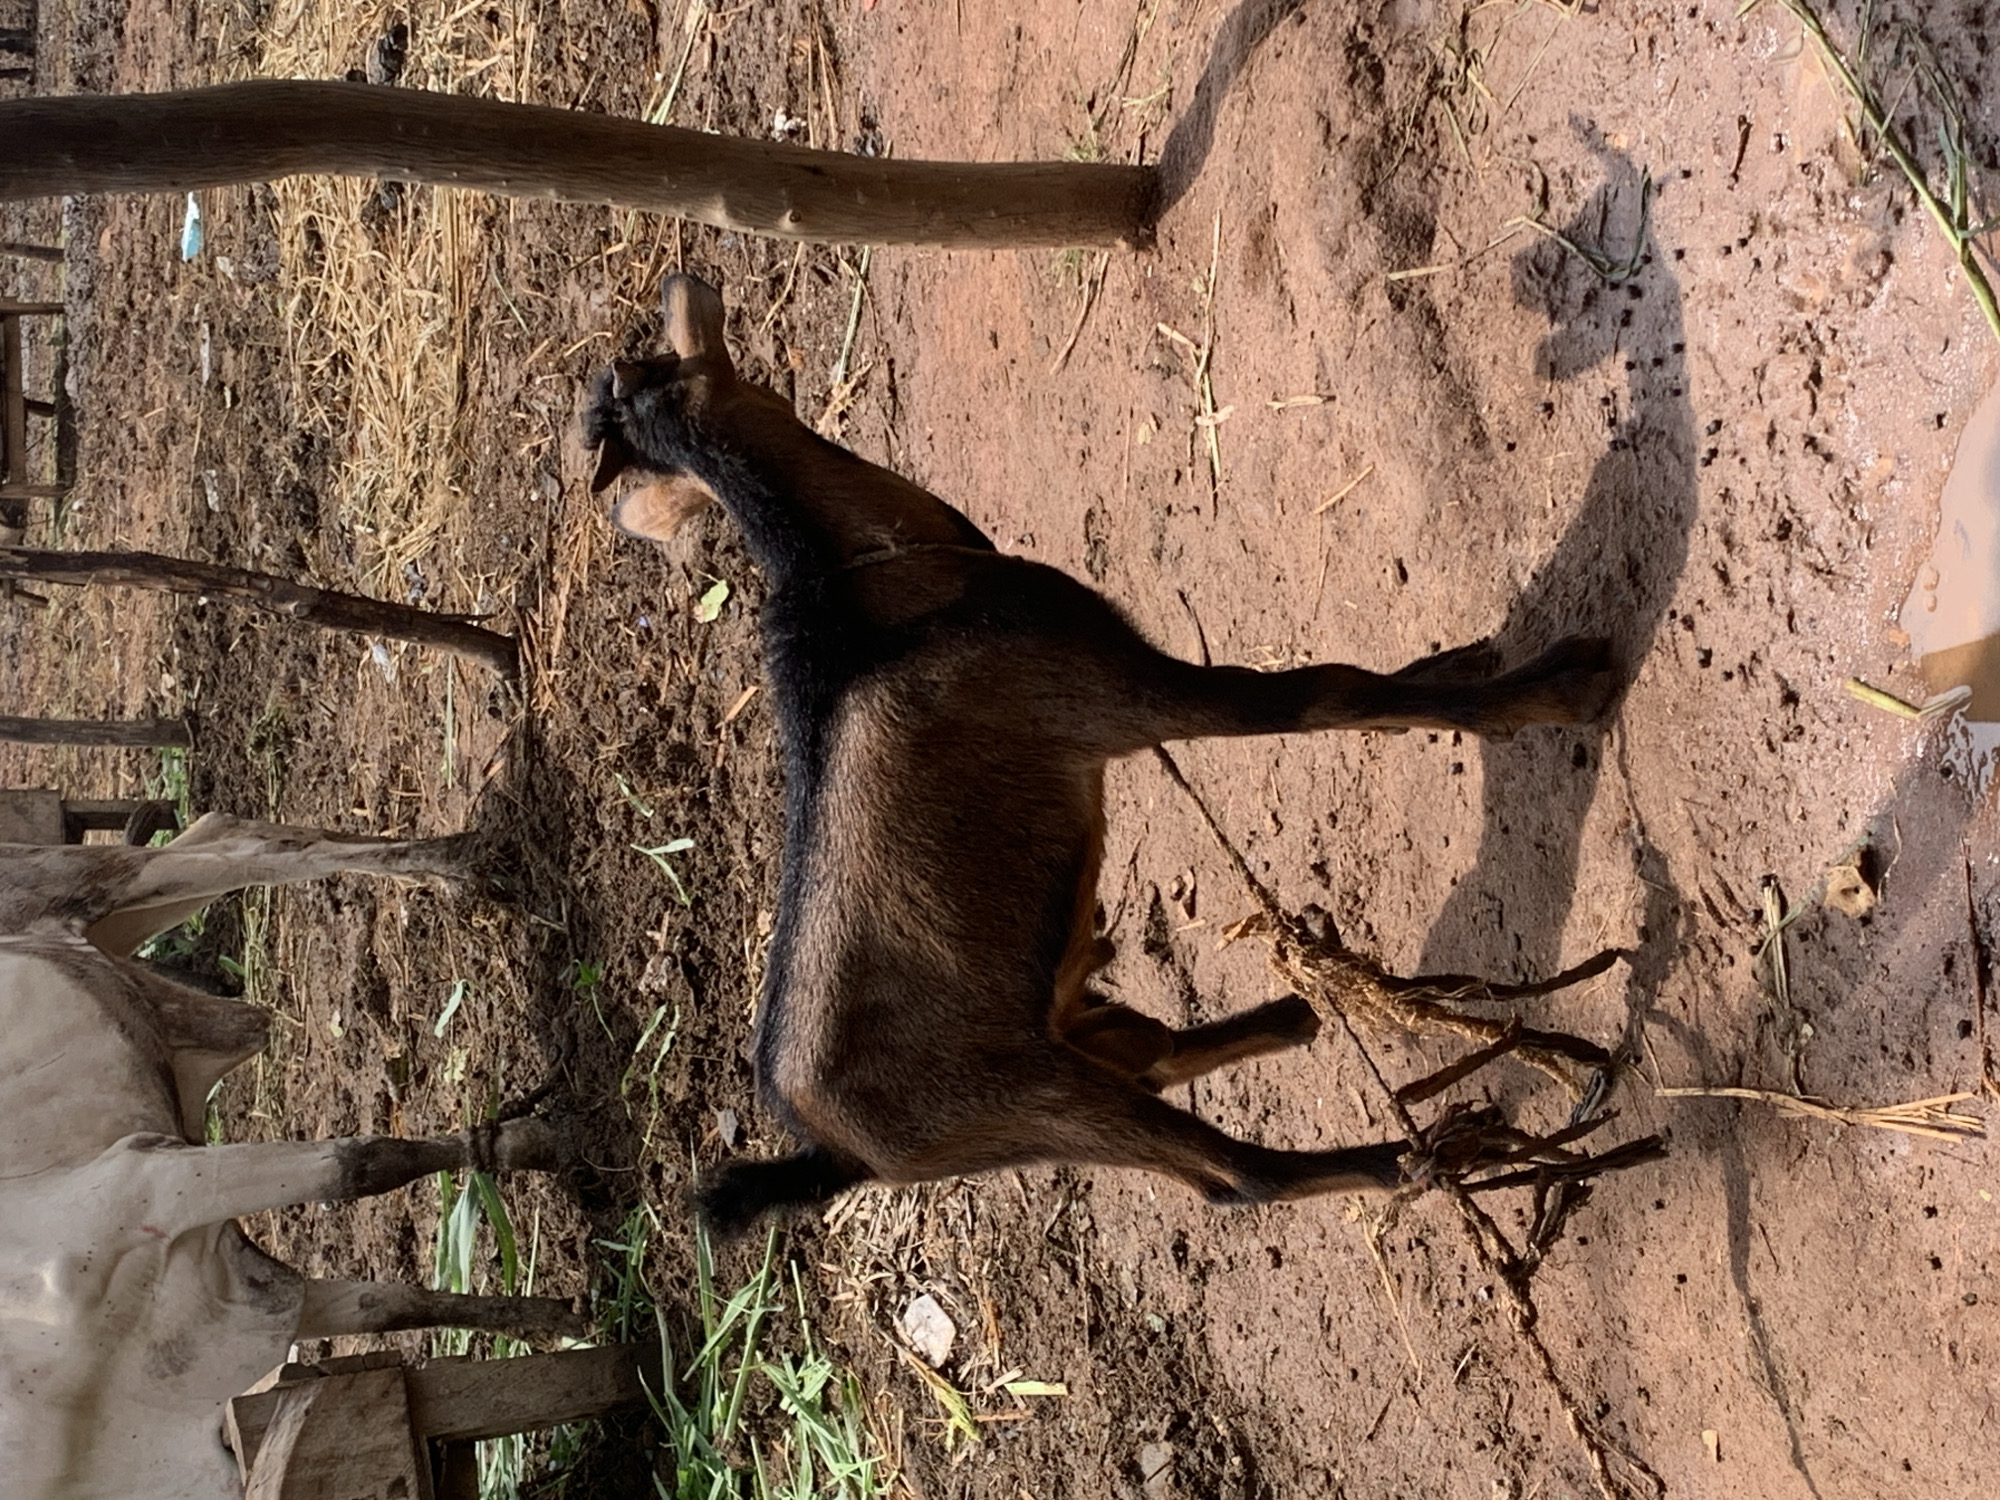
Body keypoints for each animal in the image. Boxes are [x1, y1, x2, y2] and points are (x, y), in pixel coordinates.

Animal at [0, 814, 578, 1500]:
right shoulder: (247, 1298)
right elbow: (388, 1307)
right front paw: (550, 1320)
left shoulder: (148, 1183)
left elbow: (363, 1166)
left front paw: (534, 1141)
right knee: (218, 831)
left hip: (77, 880)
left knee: (249, 850)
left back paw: (461, 860)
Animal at [585, 275, 1619, 1236]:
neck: (861, 594)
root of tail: (828, 1150)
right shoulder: (1115, 694)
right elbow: (1323, 691)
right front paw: (1556, 689)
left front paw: (1469, 662)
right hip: (1038, 1103)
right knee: (1236, 1176)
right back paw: (1446, 1153)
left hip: (1061, 1042)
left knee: (1149, 1047)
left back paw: (1291, 1019)